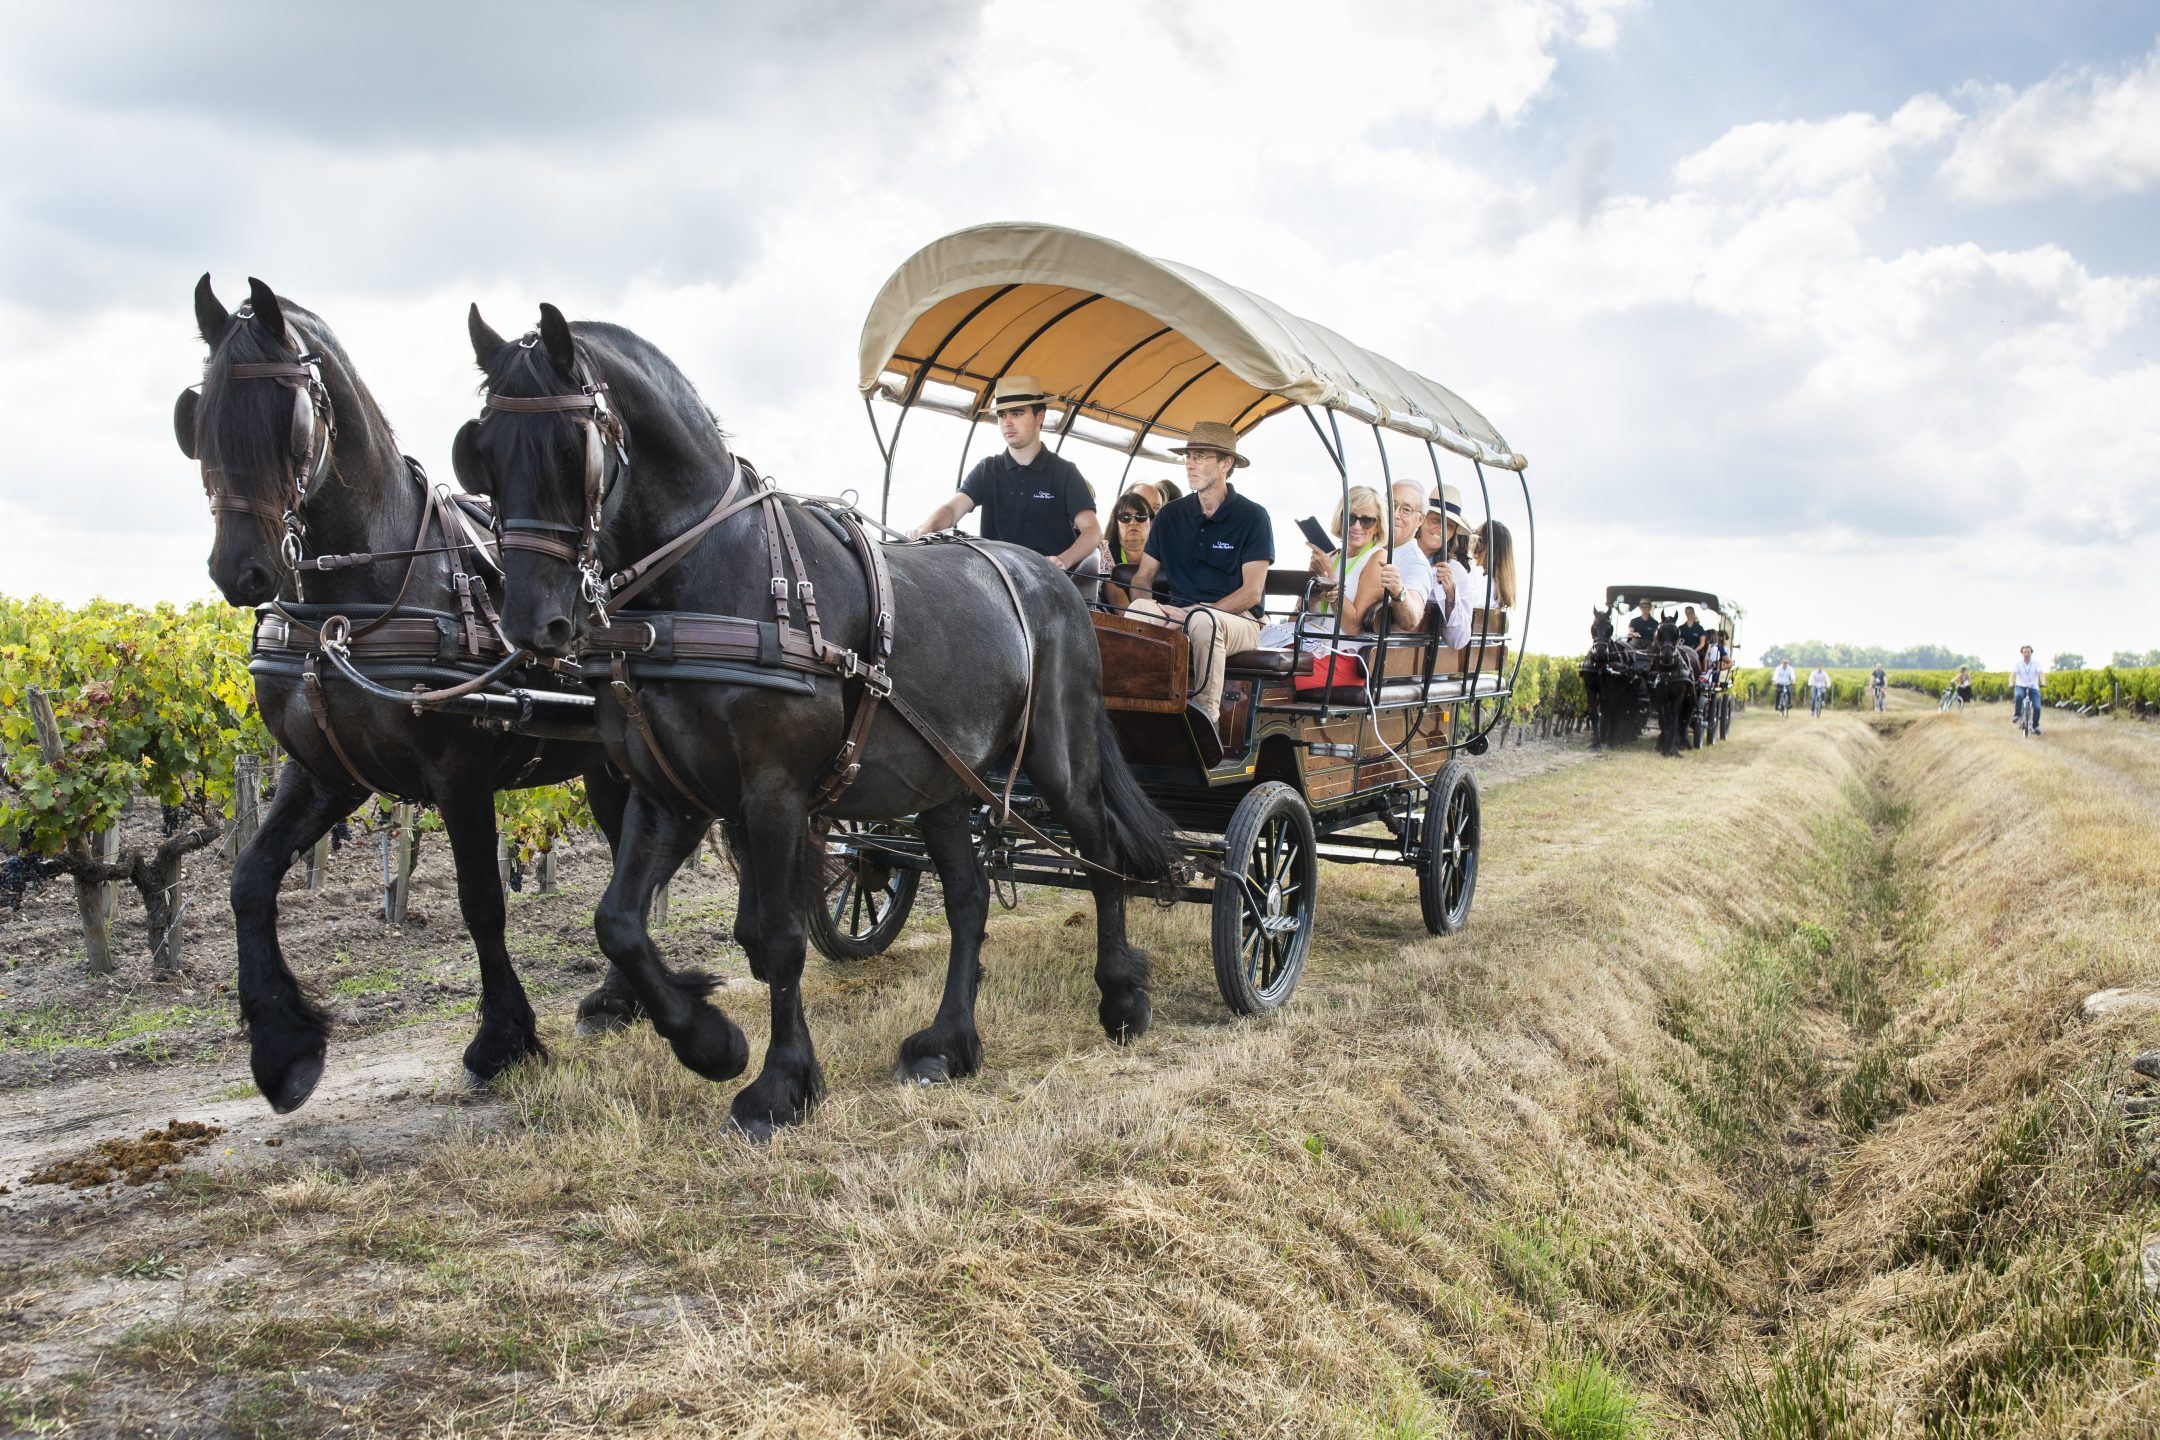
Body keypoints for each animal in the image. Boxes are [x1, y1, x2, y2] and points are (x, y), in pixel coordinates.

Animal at [173, 278, 639, 1114]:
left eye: (290, 418)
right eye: (198, 417)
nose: (242, 571)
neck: (349, 605)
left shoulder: (460, 774)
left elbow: (481, 899)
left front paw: (502, 1040)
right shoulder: (326, 775)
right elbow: (249, 878)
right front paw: (284, 1047)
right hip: (602, 761)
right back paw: (619, 999)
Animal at [444, 304, 1175, 1139]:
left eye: (576, 452)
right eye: (482, 454)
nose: (530, 622)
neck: (704, 578)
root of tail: (1055, 577)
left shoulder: (773, 792)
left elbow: (777, 937)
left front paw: (780, 1084)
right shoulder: (670, 795)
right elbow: (619, 922)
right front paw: (709, 1042)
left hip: (1059, 758)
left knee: (1101, 856)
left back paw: (1121, 998)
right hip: (942, 784)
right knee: (968, 899)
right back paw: (948, 1043)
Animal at [1650, 613, 1702, 759]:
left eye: (1677, 633)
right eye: (1659, 632)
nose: (1667, 656)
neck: (1668, 671)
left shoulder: (1678, 696)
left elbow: (1674, 720)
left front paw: (1672, 749)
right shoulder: (1660, 697)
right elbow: (1664, 720)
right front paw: (1663, 745)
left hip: (1690, 696)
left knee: (1686, 716)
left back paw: (1684, 741)